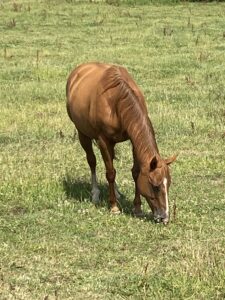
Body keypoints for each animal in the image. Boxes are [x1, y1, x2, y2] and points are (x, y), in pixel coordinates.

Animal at [66, 62, 177, 224]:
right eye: (155, 186)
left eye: (168, 184)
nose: (165, 218)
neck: (116, 101)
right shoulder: (103, 140)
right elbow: (110, 173)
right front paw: (114, 207)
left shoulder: (133, 140)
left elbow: (136, 172)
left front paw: (137, 208)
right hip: (82, 133)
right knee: (92, 161)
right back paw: (95, 193)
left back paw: (117, 192)